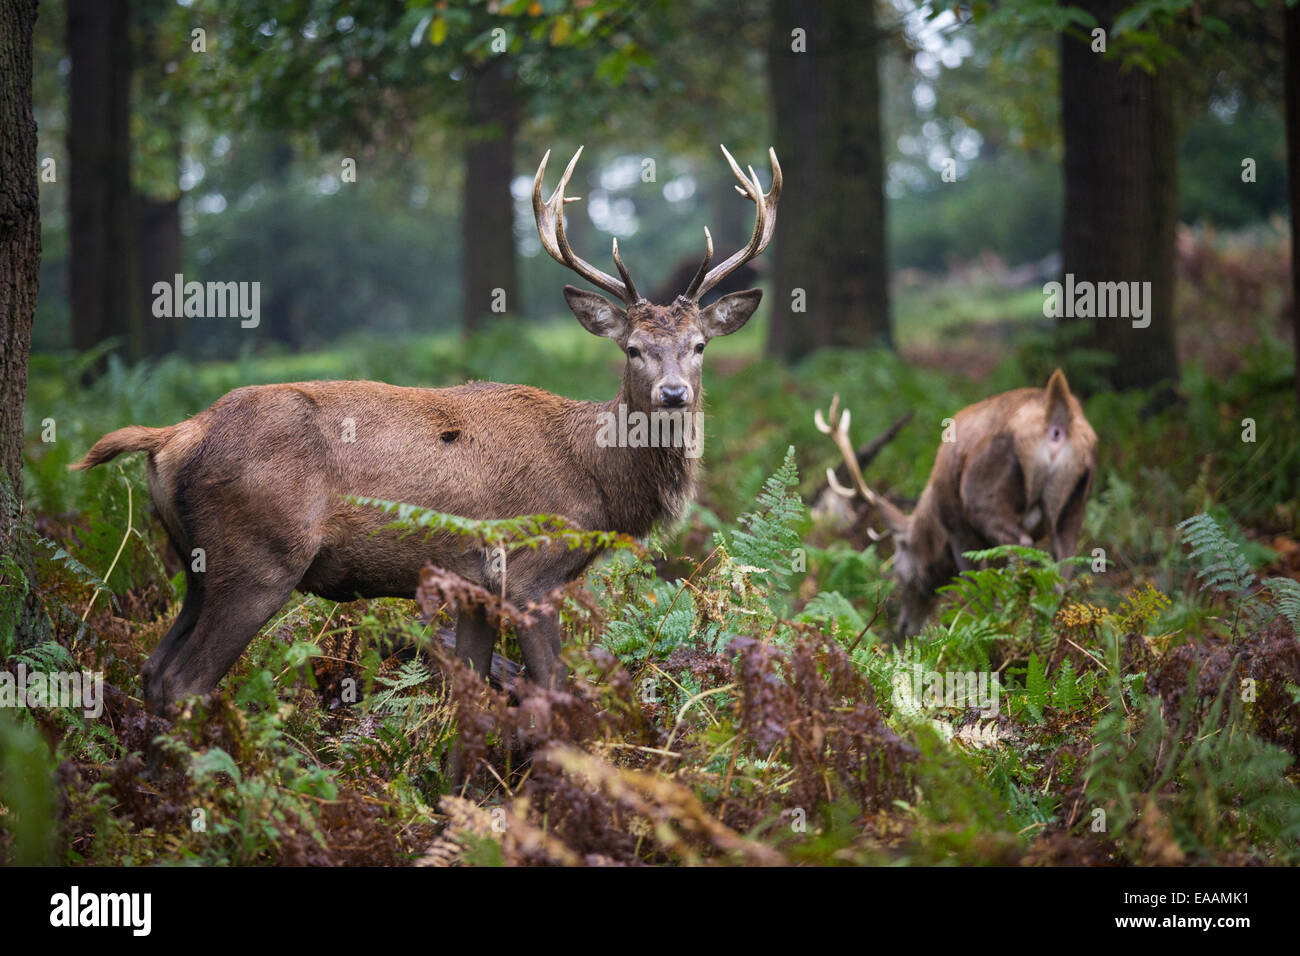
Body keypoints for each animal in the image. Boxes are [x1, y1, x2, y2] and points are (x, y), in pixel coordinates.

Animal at [71, 144, 781, 707]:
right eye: (632, 348)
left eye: (698, 345)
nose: (673, 394)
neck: (601, 486)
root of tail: (173, 436)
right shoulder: (530, 570)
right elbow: (552, 687)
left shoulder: (475, 587)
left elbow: (469, 688)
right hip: (257, 557)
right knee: (184, 680)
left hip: (194, 563)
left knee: (153, 670)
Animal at [814, 369, 1096, 637]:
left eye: (896, 567)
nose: (904, 627)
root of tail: (1056, 417)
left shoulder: (960, 529)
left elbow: (975, 586)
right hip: (1074, 508)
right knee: (1063, 567)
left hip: (984, 499)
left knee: (1021, 547)